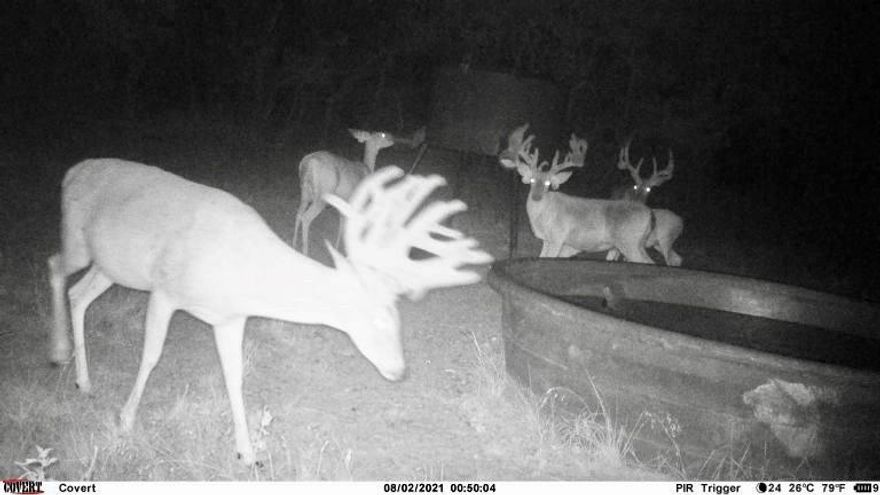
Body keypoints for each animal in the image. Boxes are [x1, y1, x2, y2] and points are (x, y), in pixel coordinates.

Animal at [48, 159, 491, 466]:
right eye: (380, 318)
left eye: (400, 319)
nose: (399, 370)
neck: (247, 274)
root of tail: (72, 170)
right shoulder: (165, 291)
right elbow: (152, 356)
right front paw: (125, 421)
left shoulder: (230, 317)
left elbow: (234, 375)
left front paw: (246, 453)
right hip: (80, 242)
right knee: (55, 267)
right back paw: (58, 353)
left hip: (110, 266)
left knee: (80, 294)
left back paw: (83, 379)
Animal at [498, 124, 655, 262]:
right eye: (531, 180)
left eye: (548, 184)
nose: (536, 196)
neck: (542, 218)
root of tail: (650, 214)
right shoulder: (546, 240)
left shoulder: (557, 237)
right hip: (636, 244)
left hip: (629, 242)